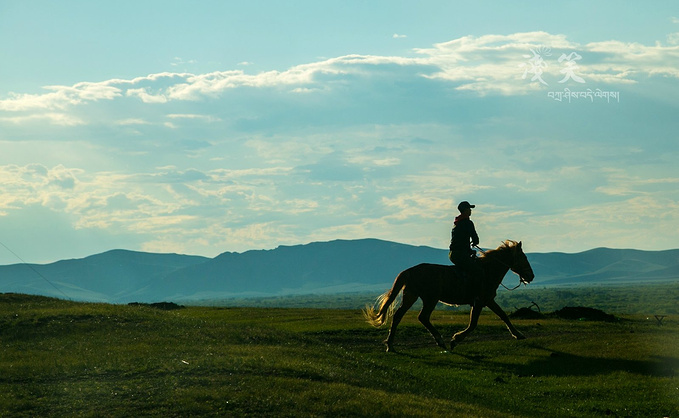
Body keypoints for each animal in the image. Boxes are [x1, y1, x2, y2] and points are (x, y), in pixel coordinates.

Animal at [364, 238, 532, 352]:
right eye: (523, 258)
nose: (531, 276)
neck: (487, 271)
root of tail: (410, 271)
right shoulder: (479, 301)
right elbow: (473, 324)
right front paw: (455, 339)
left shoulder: (488, 300)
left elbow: (503, 315)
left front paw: (518, 334)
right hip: (430, 299)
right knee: (422, 317)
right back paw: (439, 341)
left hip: (411, 296)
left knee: (400, 316)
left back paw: (390, 345)